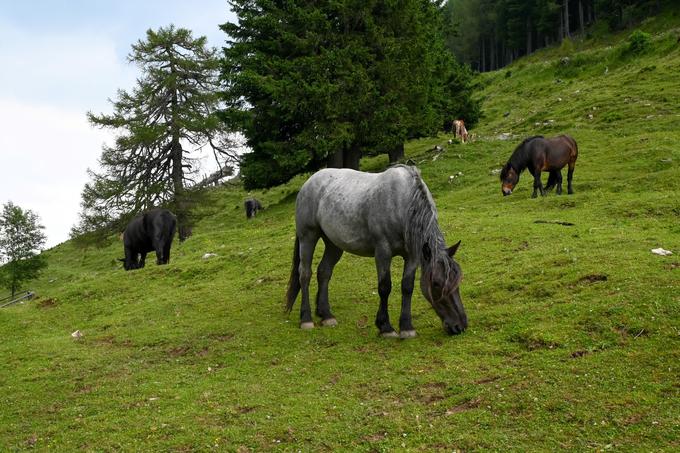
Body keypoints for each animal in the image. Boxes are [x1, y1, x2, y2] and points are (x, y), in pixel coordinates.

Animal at [286, 165, 468, 336]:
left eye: (457, 281)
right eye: (436, 283)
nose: (460, 326)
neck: (403, 204)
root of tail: (309, 182)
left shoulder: (412, 255)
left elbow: (407, 287)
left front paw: (407, 327)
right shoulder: (383, 252)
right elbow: (385, 287)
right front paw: (385, 327)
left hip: (333, 244)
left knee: (324, 272)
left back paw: (326, 315)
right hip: (308, 237)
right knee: (305, 274)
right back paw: (306, 319)